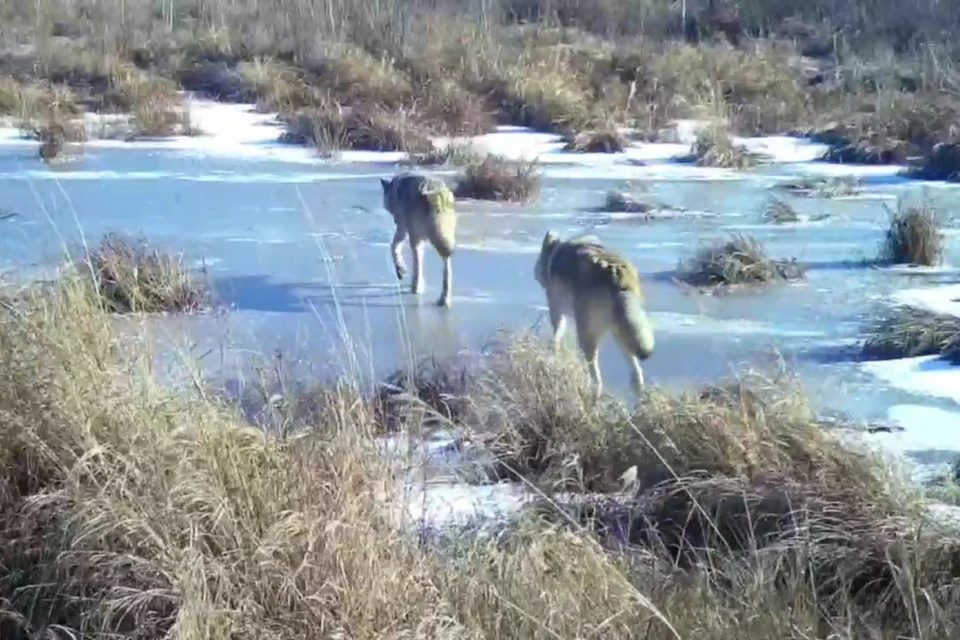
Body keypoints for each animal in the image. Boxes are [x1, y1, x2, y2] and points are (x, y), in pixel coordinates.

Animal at [380, 172, 460, 308]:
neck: (394, 189)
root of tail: (435, 191)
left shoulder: (403, 227)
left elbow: (394, 246)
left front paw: (400, 270)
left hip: (417, 237)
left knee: (418, 262)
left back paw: (416, 287)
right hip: (442, 237)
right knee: (446, 264)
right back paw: (444, 299)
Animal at [528, 230, 656, 398]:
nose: (534, 272)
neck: (555, 252)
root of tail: (616, 276)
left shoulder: (557, 310)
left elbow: (556, 338)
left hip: (587, 335)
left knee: (596, 375)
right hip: (622, 333)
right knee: (636, 372)